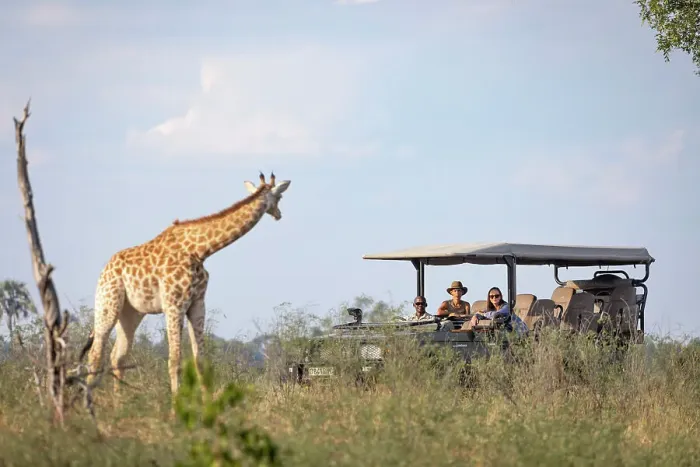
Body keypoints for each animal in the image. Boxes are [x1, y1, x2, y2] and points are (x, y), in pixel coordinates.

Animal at [82, 172, 290, 396]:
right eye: (280, 197)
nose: (279, 214)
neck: (200, 250)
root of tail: (106, 269)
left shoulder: (197, 303)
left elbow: (200, 361)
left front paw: (207, 401)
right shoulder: (174, 305)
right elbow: (175, 360)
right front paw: (176, 402)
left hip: (131, 312)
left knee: (118, 356)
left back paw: (119, 402)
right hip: (108, 302)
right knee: (95, 353)